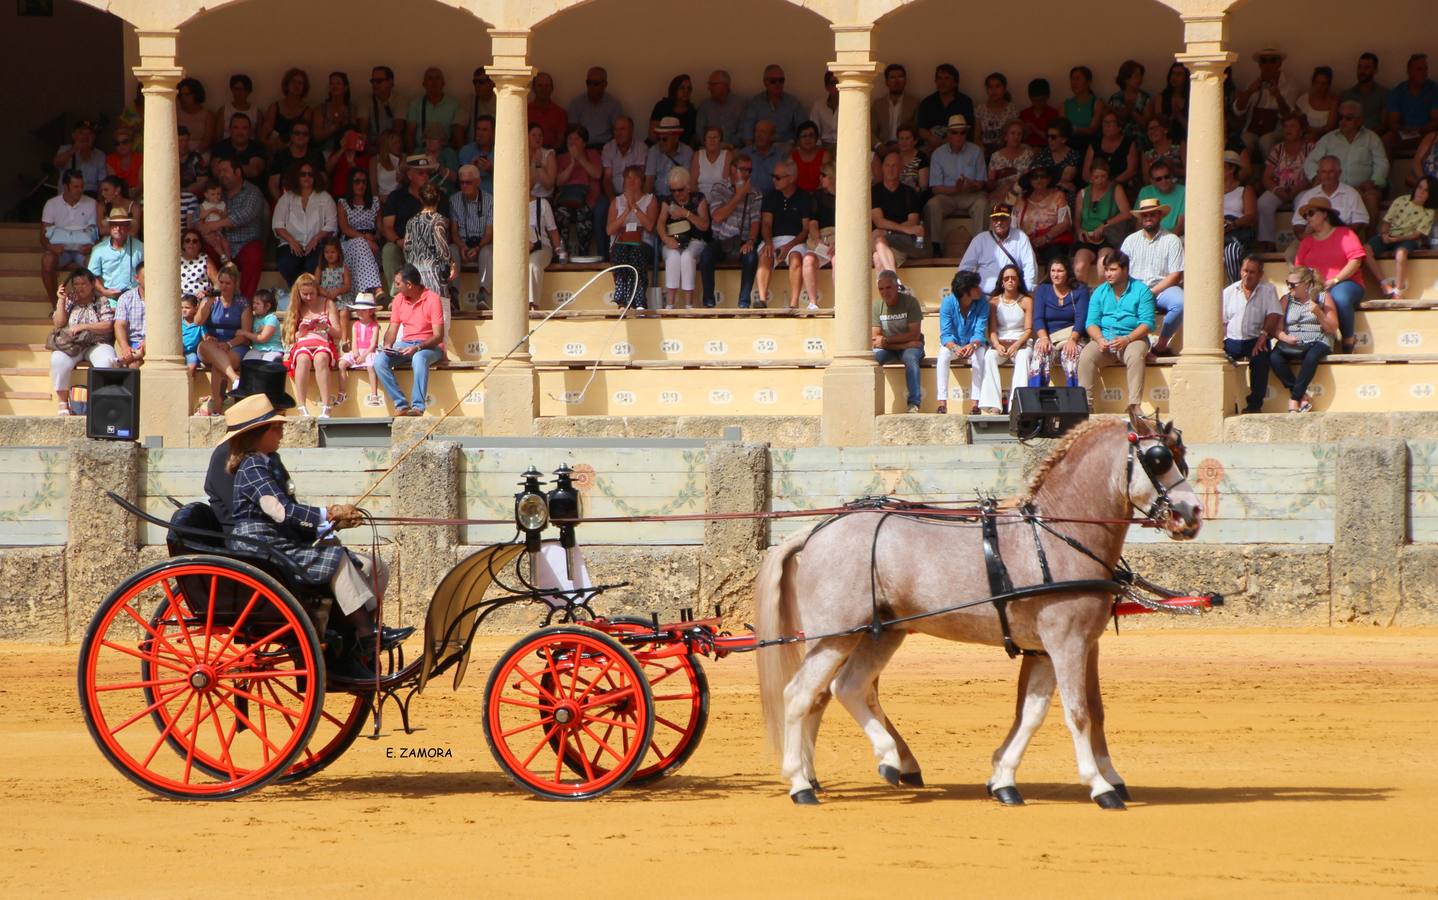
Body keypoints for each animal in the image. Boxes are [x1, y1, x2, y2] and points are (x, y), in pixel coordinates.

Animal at [753, 405, 1202, 805]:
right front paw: (1100, 785)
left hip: (879, 634)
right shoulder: (1068, 643)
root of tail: (815, 531)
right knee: (801, 694)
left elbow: (1033, 713)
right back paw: (802, 782)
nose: (1193, 512)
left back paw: (885, 759)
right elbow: (1079, 712)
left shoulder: (1047, 649)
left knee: (845, 688)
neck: (1054, 536)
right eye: (1158, 458)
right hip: (834, 638)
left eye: (1180, 454)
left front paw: (1004, 779)